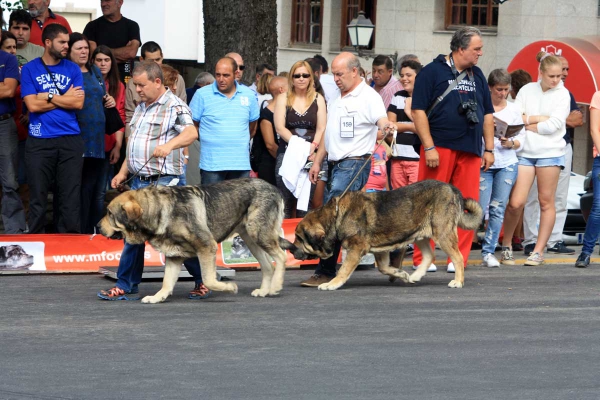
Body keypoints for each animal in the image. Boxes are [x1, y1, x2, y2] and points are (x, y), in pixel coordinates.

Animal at [97, 178, 290, 304]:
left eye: (109, 213)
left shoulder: (207, 246)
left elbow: (208, 279)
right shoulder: (174, 257)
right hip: (251, 239)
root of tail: (275, 188)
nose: (98, 227)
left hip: (258, 233)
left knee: (281, 256)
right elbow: (166, 281)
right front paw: (158, 297)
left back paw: (275, 287)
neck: (159, 211)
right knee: (268, 265)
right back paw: (264, 290)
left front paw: (229, 287)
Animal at [288, 181, 486, 290]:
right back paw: (415, 276)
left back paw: (458, 281)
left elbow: (343, 270)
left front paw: (332, 284)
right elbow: (384, 268)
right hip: (420, 233)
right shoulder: (380, 251)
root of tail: (453, 190)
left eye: (299, 238)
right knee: (430, 256)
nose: (290, 250)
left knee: (458, 257)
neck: (336, 214)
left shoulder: (356, 249)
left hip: (442, 234)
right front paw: (401, 274)